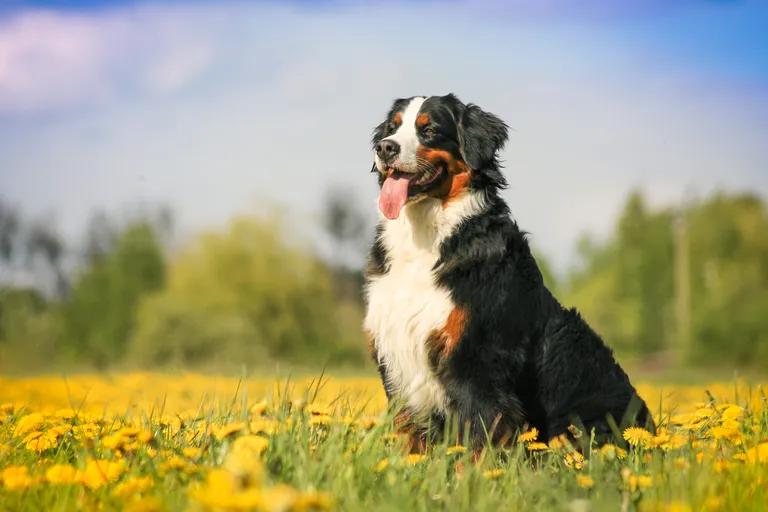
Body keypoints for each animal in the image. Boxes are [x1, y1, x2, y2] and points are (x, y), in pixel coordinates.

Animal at [364, 94, 652, 450]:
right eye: (392, 128)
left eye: (428, 130)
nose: (385, 148)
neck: (426, 235)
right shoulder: (397, 356)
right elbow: (407, 436)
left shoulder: (476, 361)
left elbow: (479, 439)